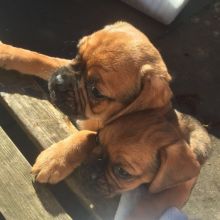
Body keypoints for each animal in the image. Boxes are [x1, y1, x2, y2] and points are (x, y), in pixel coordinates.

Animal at [0, 21, 211, 219]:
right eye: (77, 55)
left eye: (96, 92)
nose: (58, 81)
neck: (103, 115)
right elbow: (42, 59)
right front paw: (6, 52)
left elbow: (88, 134)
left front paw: (55, 159)